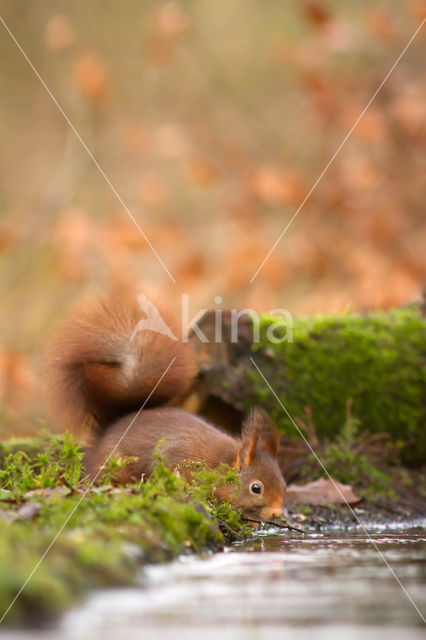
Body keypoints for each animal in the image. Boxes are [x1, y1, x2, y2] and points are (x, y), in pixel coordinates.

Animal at [46, 296, 286, 520]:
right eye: (256, 488)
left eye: (284, 485)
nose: (277, 514)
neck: (221, 461)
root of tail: (108, 430)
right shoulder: (178, 456)